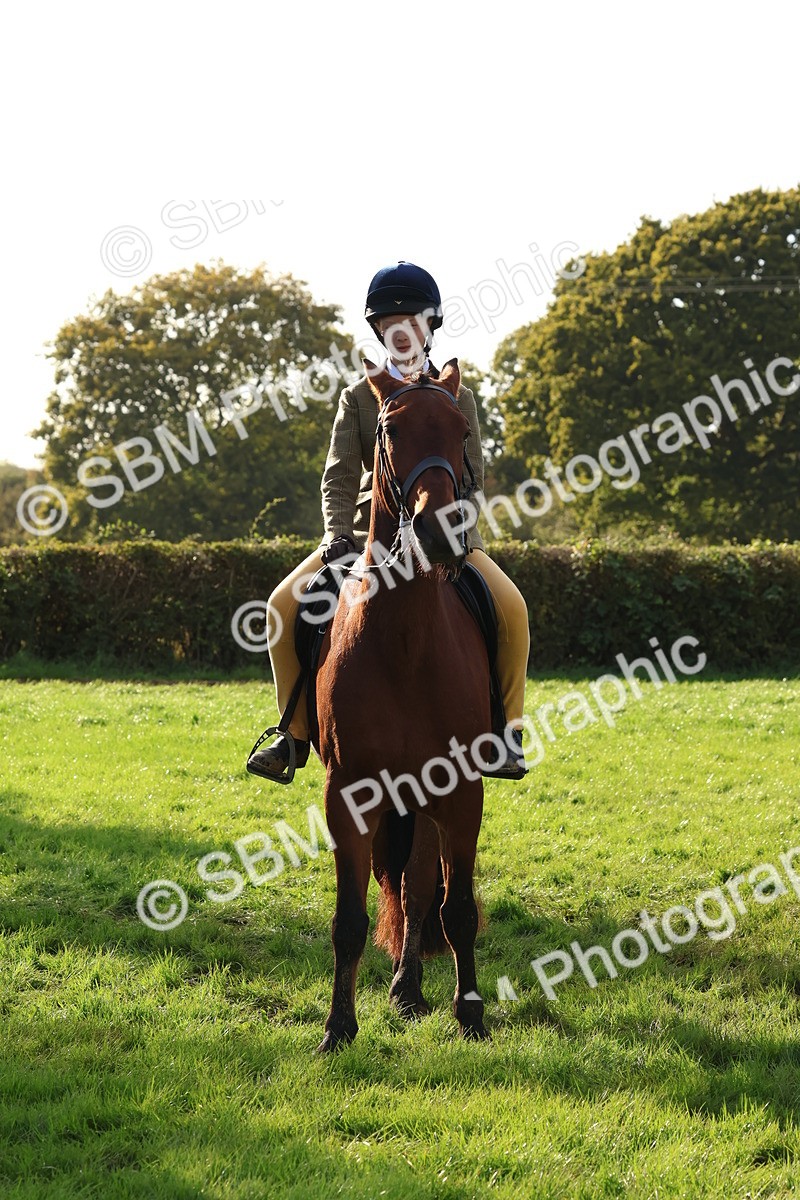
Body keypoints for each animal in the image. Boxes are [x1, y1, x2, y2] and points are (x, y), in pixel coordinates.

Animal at [312, 358, 492, 1053]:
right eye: (390, 433)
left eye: (462, 429)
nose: (441, 531)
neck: (408, 643)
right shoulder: (349, 794)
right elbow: (350, 920)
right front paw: (338, 1027)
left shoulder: (461, 790)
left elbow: (456, 907)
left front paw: (470, 1014)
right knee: (405, 886)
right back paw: (403, 987)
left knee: (418, 890)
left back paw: (410, 989)